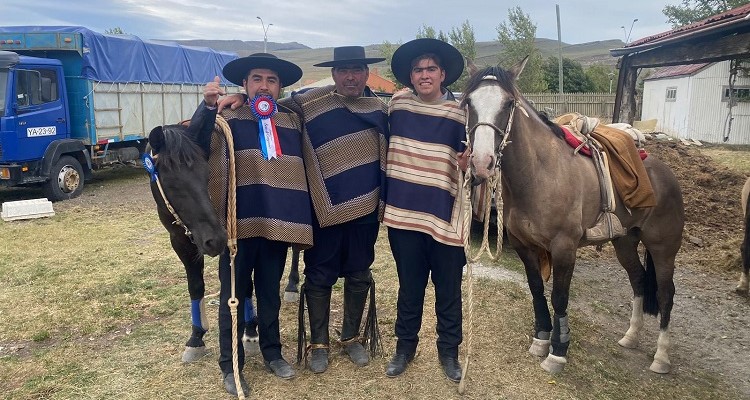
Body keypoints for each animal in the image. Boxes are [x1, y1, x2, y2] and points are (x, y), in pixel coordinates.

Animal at [462, 57, 684, 376]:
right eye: (468, 102)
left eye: (508, 103)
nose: (482, 162)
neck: (539, 174)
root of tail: (667, 174)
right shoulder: (523, 245)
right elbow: (536, 289)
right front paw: (541, 339)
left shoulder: (564, 248)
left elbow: (559, 296)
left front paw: (558, 351)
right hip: (625, 243)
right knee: (639, 280)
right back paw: (630, 337)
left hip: (663, 248)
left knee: (666, 294)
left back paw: (661, 357)